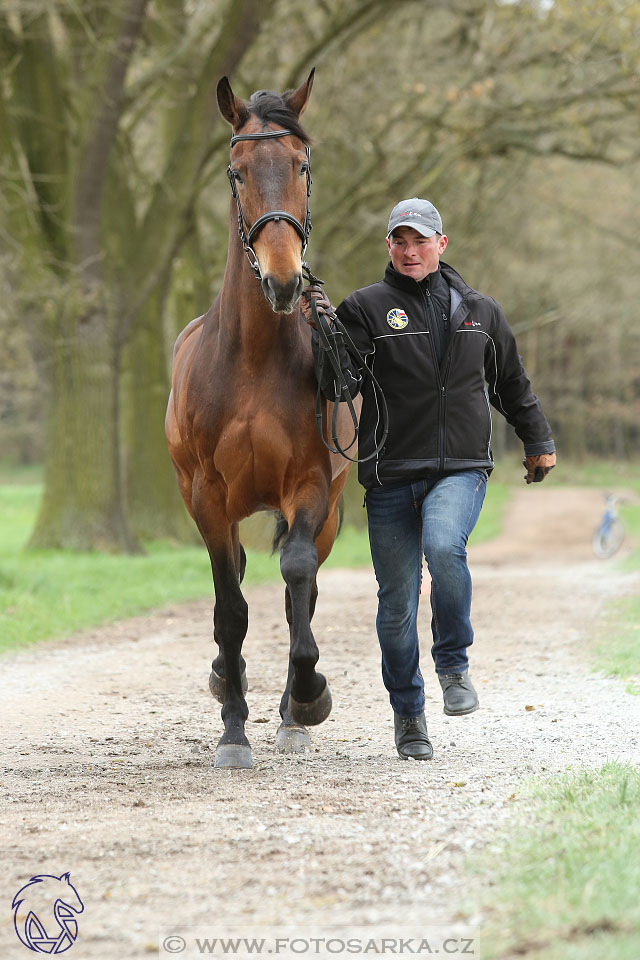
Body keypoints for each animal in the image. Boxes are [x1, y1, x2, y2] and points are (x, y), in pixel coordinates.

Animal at [165, 71, 360, 768]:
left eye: (302, 164)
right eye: (237, 171)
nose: (282, 280)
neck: (251, 359)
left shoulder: (309, 486)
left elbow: (296, 578)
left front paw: (306, 698)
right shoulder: (206, 497)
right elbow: (229, 605)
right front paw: (232, 730)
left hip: (328, 511)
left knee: (301, 585)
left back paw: (290, 714)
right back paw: (230, 681)